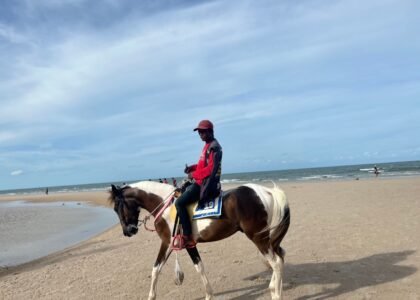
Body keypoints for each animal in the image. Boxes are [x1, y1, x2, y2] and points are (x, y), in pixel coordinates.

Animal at [110, 180, 290, 300]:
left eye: (117, 206)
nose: (128, 231)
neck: (165, 205)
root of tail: (267, 191)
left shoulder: (174, 243)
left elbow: (195, 268)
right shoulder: (176, 244)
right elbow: (159, 269)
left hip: (258, 237)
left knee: (276, 262)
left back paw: (276, 293)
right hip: (266, 238)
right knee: (280, 257)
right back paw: (273, 288)